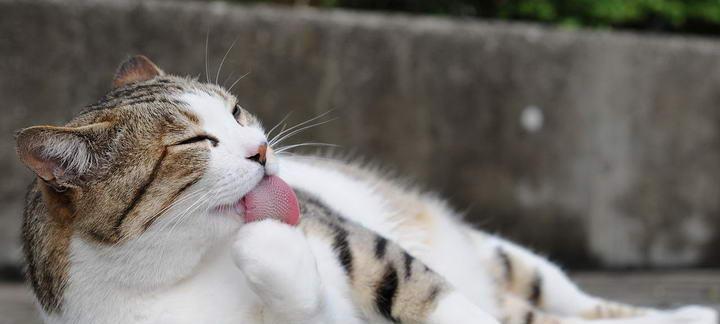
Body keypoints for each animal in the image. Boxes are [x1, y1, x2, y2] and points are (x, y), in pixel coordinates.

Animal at [16, 54, 720, 322]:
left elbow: (421, 289)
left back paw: (685, 313)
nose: (263, 149)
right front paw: (270, 253)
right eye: (194, 143)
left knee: (577, 304)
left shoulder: (355, 244)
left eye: (237, 112)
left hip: (505, 257)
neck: (183, 277)